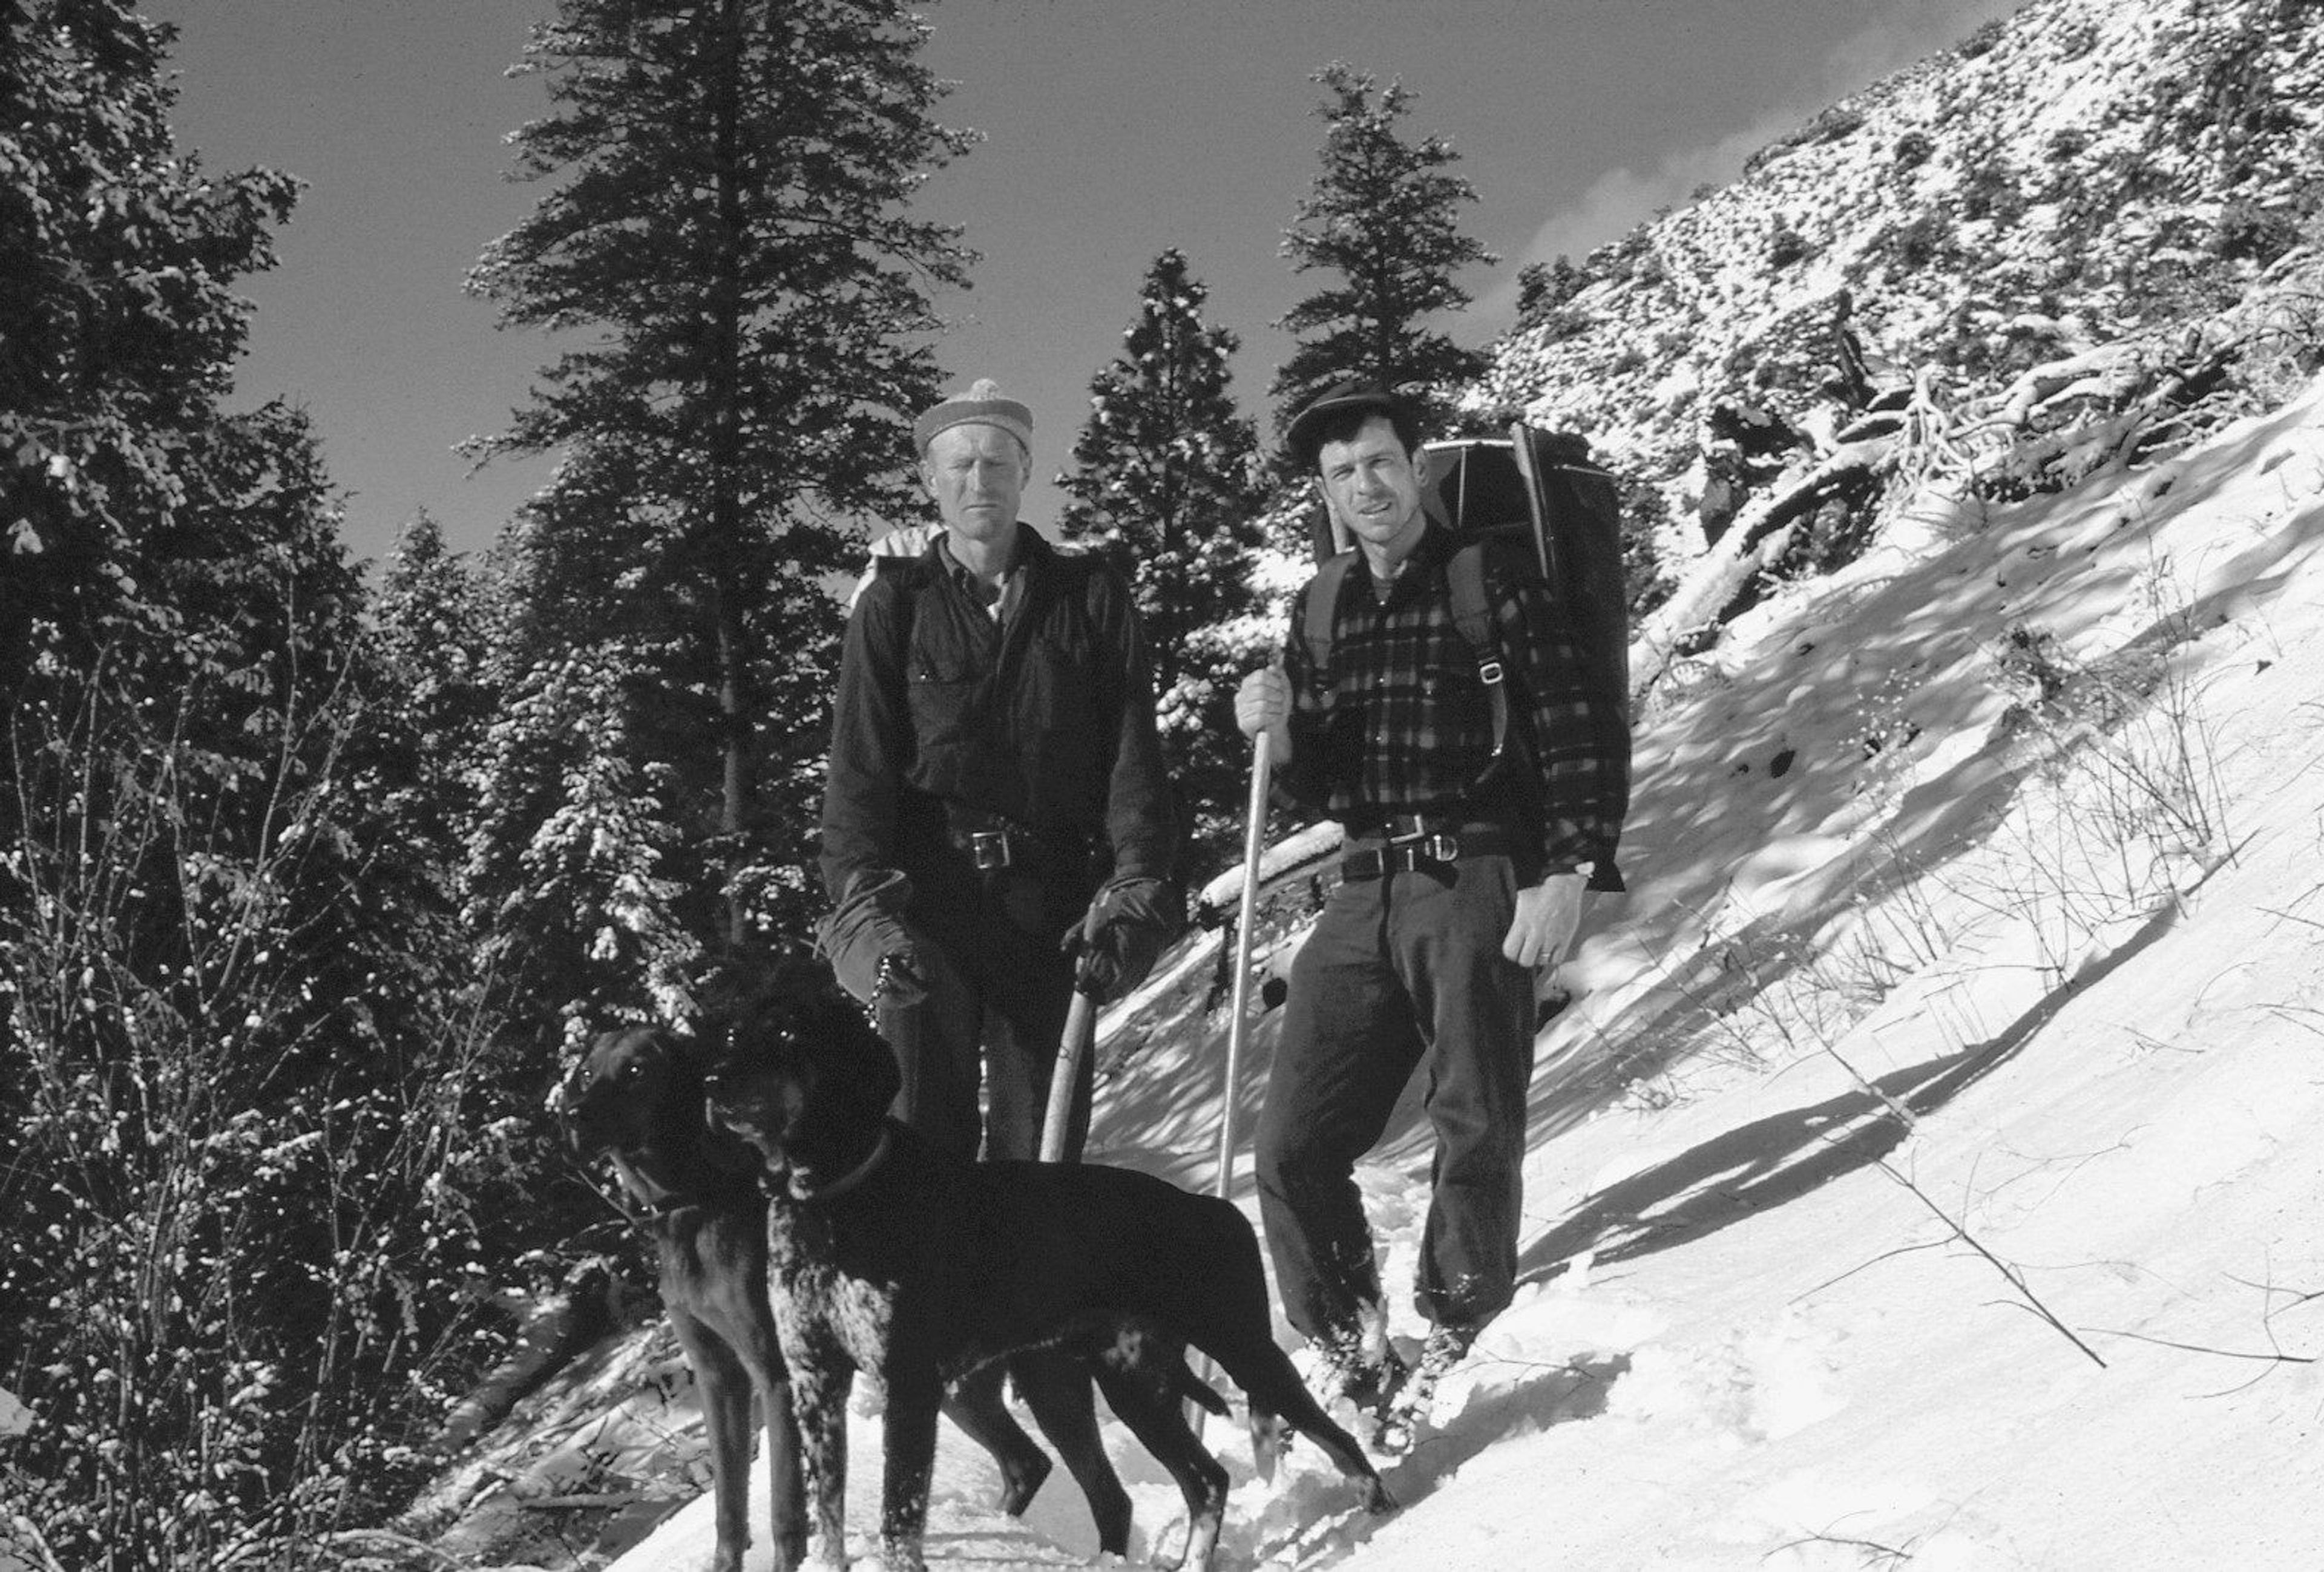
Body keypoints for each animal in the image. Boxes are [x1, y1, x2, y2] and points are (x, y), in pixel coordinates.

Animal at [555, 1021, 1134, 1560]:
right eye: (586, 1073)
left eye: (637, 1071)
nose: (572, 1114)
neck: (696, 1204)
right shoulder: (718, 1376)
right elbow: (728, 1512)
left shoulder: (778, 1373)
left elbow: (785, 1511)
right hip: (957, 1380)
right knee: (1026, 1463)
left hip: (1024, 1373)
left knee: (1084, 1483)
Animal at [701, 957, 1394, 1570]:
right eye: (733, 1036)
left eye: (789, 1033)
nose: (711, 1083)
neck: (829, 1203)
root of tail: (1211, 1206)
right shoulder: (816, 1383)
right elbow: (830, 1520)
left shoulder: (908, 1383)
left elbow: (900, 1519)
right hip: (1109, 1387)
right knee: (1198, 1483)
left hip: (1238, 1350)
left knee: (1333, 1438)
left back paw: (1383, 1512)